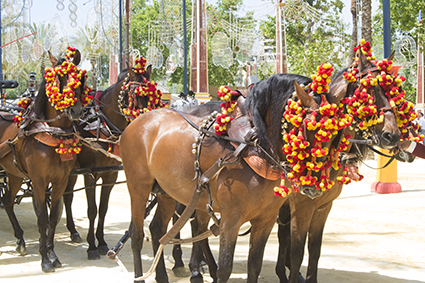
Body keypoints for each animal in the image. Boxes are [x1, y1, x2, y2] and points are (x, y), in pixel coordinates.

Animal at [0, 50, 88, 274]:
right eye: (60, 78)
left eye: (80, 78)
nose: (76, 111)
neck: (54, 132)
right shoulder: (39, 181)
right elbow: (42, 218)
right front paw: (44, 259)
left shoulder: (60, 180)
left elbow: (53, 217)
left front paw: (53, 255)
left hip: (14, 174)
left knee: (7, 201)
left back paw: (20, 240)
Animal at [63, 65, 154, 260]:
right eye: (134, 93)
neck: (101, 125)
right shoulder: (89, 173)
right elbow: (92, 210)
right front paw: (91, 247)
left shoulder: (110, 174)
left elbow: (103, 209)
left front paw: (102, 243)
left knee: (67, 196)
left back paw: (73, 231)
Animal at [119, 74, 352, 283]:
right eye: (308, 129)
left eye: (336, 133)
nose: (313, 187)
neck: (255, 148)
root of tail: (139, 120)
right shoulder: (232, 218)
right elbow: (225, 268)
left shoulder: (267, 219)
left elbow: (255, 265)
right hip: (138, 187)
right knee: (137, 234)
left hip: (167, 191)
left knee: (158, 229)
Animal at [274, 51, 400, 283]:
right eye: (369, 90)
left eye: (392, 89)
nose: (392, 135)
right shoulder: (301, 205)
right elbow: (297, 251)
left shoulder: (323, 206)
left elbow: (314, 250)